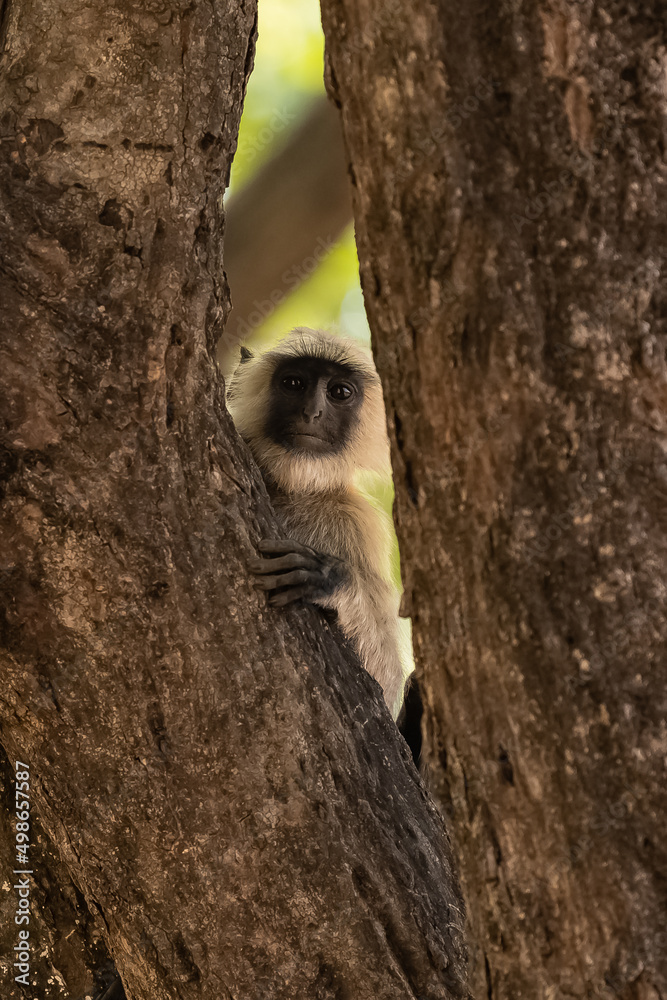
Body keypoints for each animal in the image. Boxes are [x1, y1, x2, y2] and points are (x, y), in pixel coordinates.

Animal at [226, 327, 411, 719]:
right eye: (294, 383)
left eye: (339, 392)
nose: (312, 412)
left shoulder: (357, 525)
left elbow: (386, 684)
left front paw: (328, 579)